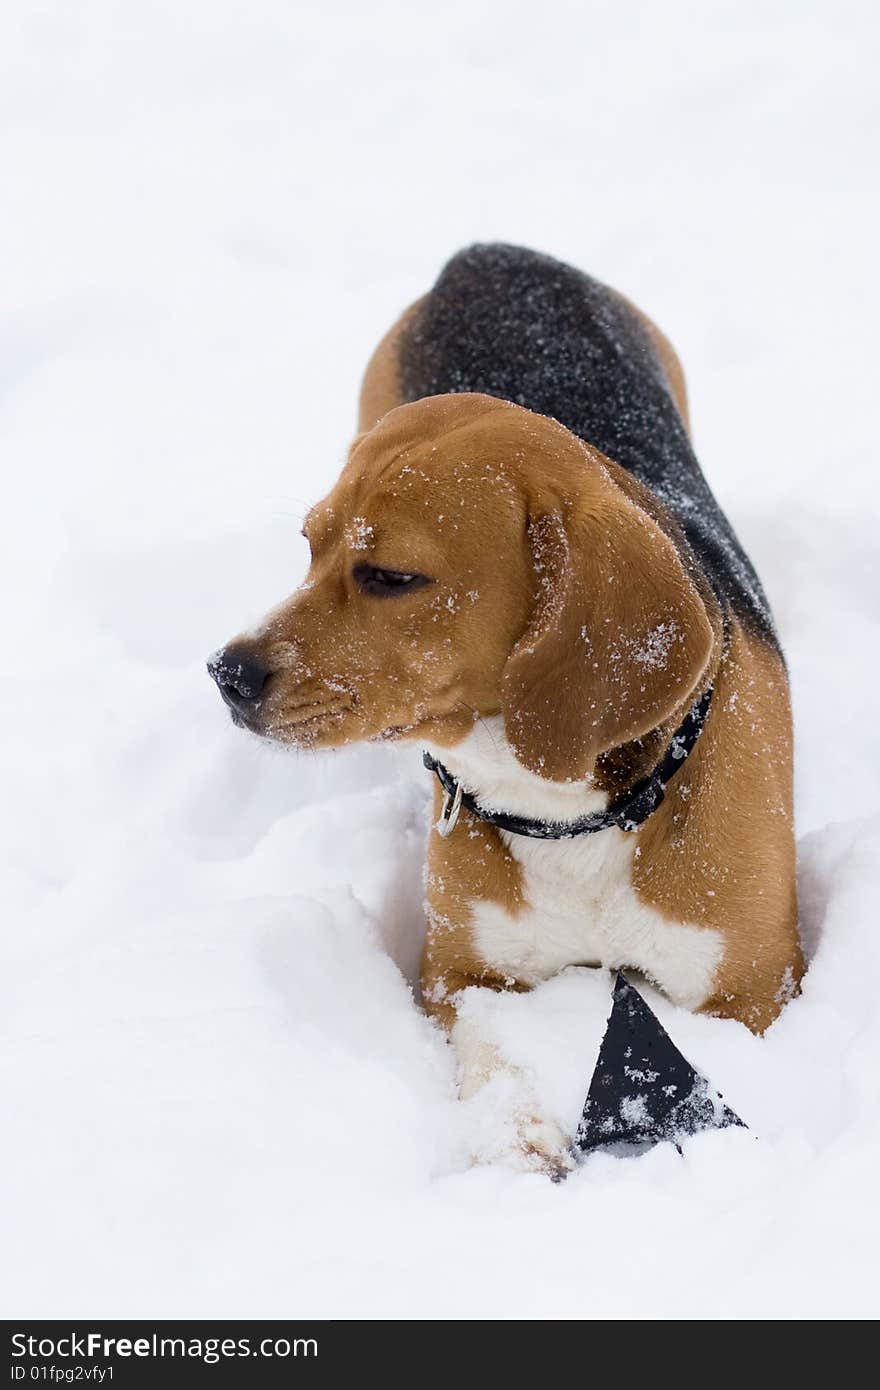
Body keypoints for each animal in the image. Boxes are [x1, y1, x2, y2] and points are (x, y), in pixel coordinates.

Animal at [209, 244, 800, 1167]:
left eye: (392, 577)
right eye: (309, 547)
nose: (226, 673)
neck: (573, 816)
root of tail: (489, 254)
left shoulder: (752, 995)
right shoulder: (458, 975)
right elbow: (491, 1045)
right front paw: (517, 1137)